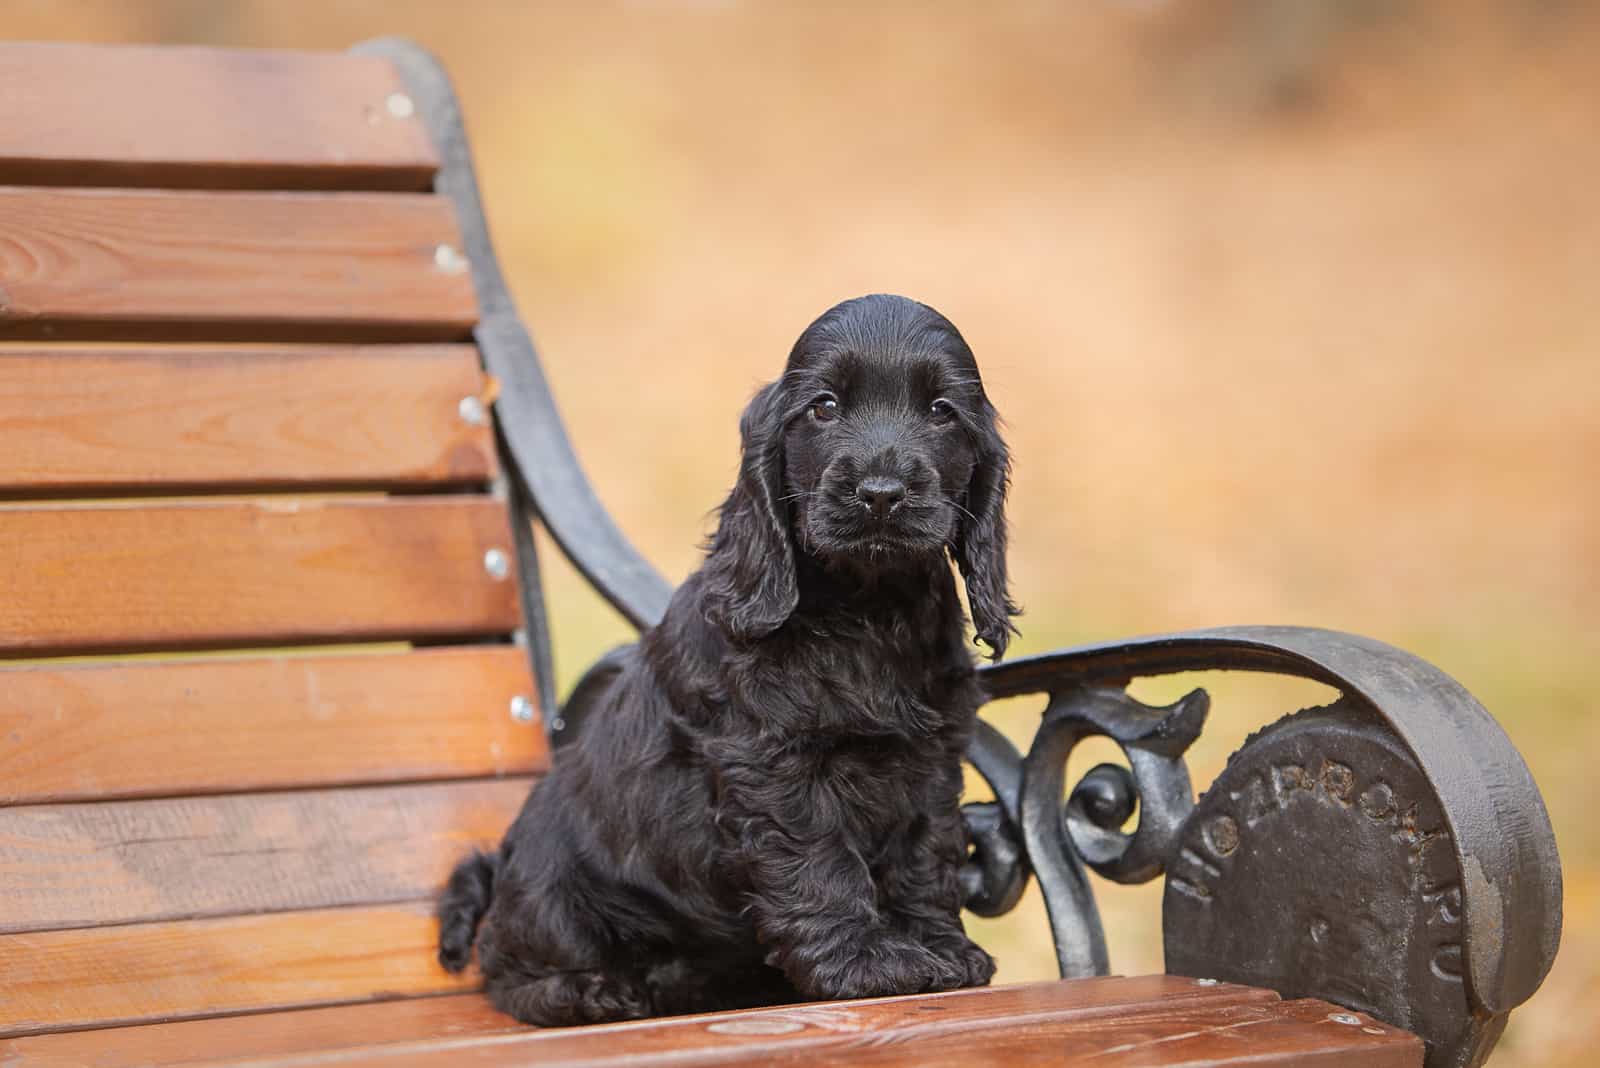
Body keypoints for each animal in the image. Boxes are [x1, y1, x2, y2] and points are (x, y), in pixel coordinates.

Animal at [438, 292, 1011, 1023]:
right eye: (824, 407)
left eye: (941, 411)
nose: (881, 492)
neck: (866, 609)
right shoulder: (773, 768)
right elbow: (823, 865)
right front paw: (865, 965)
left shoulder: (930, 761)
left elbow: (925, 854)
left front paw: (940, 949)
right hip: (555, 895)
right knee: (507, 969)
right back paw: (603, 989)